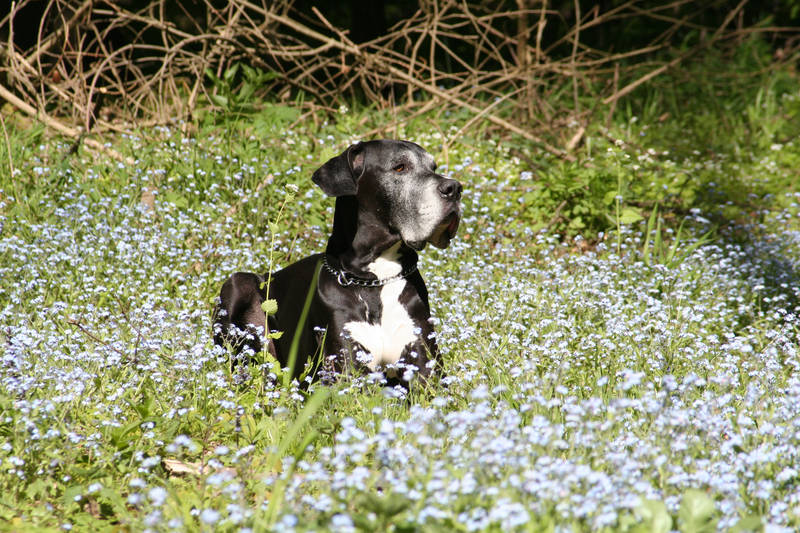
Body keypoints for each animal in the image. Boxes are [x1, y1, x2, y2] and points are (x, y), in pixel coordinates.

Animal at [212, 139, 462, 388]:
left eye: (433, 167)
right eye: (400, 167)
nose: (455, 188)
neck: (375, 279)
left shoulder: (426, 367)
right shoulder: (345, 369)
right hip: (237, 283)